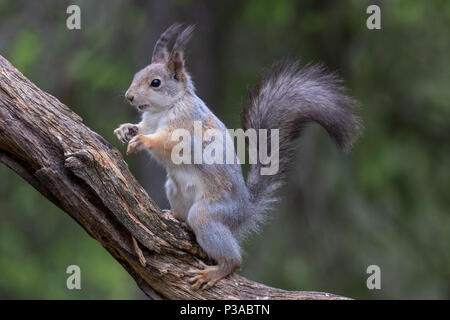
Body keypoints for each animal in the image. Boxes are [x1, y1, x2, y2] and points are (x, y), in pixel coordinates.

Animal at [114, 24, 360, 290]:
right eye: (137, 75)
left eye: (156, 82)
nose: (128, 96)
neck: (163, 110)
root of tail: (245, 210)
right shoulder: (149, 122)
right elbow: (142, 127)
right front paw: (125, 130)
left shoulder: (186, 125)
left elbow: (168, 142)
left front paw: (143, 141)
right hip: (174, 190)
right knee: (184, 217)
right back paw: (174, 217)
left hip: (211, 213)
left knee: (231, 257)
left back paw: (215, 271)